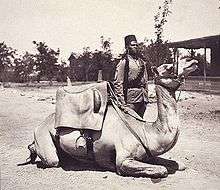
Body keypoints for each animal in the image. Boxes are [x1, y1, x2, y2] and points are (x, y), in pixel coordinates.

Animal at [25, 58, 198, 178]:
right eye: (168, 67)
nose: (193, 61)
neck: (145, 131)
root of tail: (40, 124)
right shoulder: (123, 160)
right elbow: (162, 170)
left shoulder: (148, 155)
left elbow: (178, 164)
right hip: (44, 138)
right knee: (52, 159)